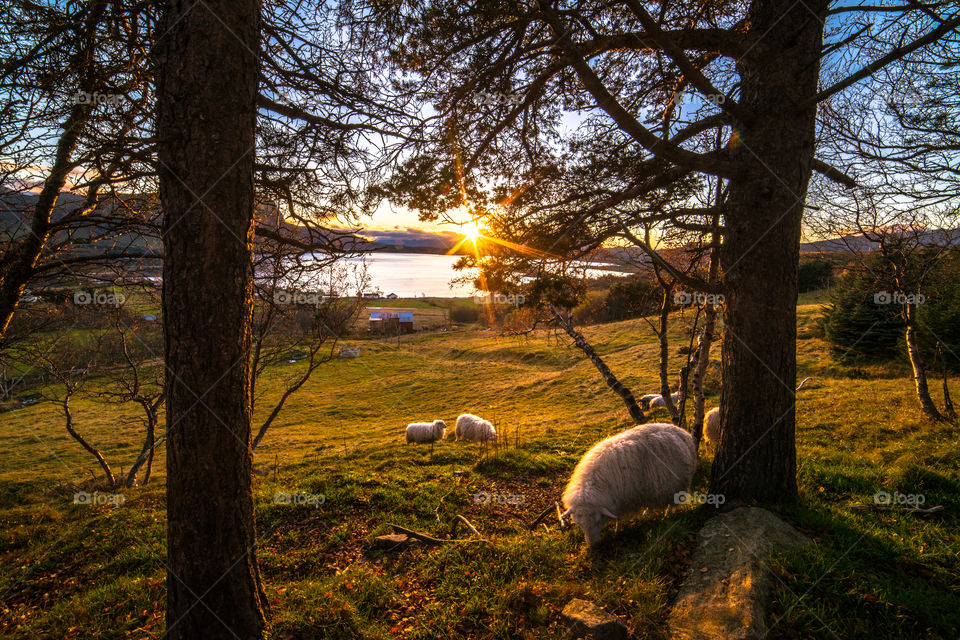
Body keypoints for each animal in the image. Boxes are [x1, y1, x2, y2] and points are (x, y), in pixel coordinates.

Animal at [560, 422, 692, 548]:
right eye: (579, 524)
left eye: (598, 522)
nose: (593, 545)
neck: (593, 483)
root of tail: (682, 431)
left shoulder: (621, 501)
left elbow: (618, 518)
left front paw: (617, 530)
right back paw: (647, 512)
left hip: (673, 485)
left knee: (670, 504)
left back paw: (667, 515)